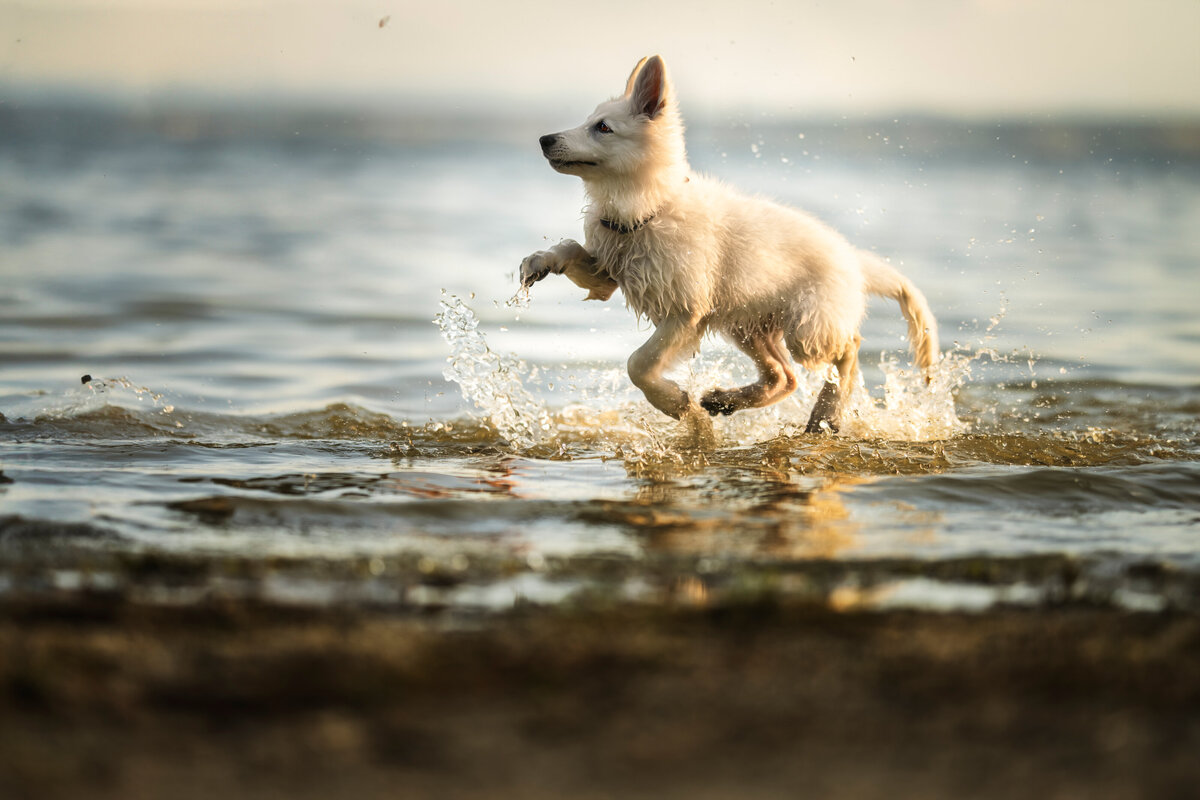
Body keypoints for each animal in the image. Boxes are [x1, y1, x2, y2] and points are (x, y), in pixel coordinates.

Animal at [520, 55, 940, 431]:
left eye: (603, 128)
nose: (543, 139)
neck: (647, 210)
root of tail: (854, 260)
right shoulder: (609, 272)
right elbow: (573, 249)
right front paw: (540, 261)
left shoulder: (686, 311)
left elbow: (638, 363)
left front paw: (674, 404)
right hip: (748, 322)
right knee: (785, 377)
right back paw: (726, 402)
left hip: (807, 327)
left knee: (848, 347)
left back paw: (827, 413)